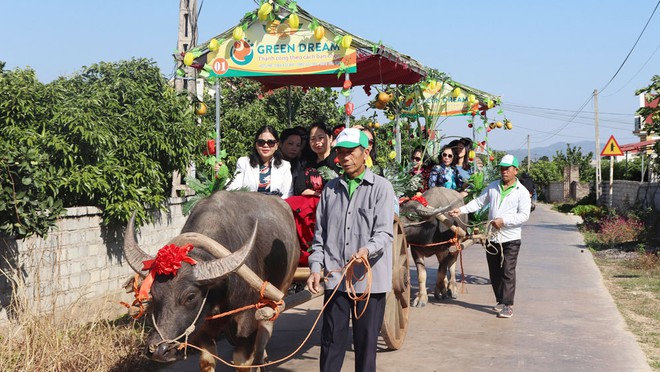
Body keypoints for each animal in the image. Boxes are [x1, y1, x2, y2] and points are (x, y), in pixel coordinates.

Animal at [123, 192, 300, 372]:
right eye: (153, 293)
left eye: (190, 297)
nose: (159, 351)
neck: (221, 289)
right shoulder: (201, 325)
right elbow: (207, 361)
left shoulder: (248, 315)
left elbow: (242, 360)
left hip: (279, 291)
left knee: (264, 332)